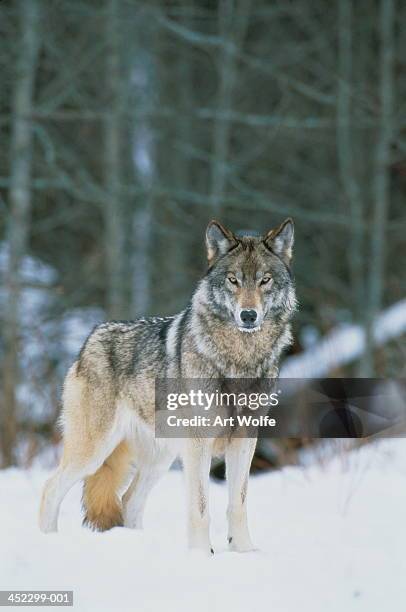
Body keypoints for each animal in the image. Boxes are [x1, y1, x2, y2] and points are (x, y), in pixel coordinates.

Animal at [39, 219, 296, 556]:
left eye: (265, 280)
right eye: (233, 280)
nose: (249, 315)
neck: (239, 358)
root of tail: (89, 339)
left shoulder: (244, 438)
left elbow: (237, 504)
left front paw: (244, 552)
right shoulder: (199, 443)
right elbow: (200, 507)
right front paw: (201, 555)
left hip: (160, 459)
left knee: (128, 502)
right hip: (94, 451)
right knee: (50, 489)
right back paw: (47, 541)